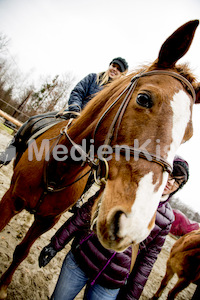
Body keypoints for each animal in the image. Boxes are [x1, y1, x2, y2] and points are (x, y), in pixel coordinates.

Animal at [0, 19, 200, 298]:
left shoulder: (47, 220)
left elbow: (22, 251)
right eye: (144, 98)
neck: (58, 169)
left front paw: (3, 286)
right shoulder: (11, 199)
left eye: (188, 134)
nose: (134, 224)